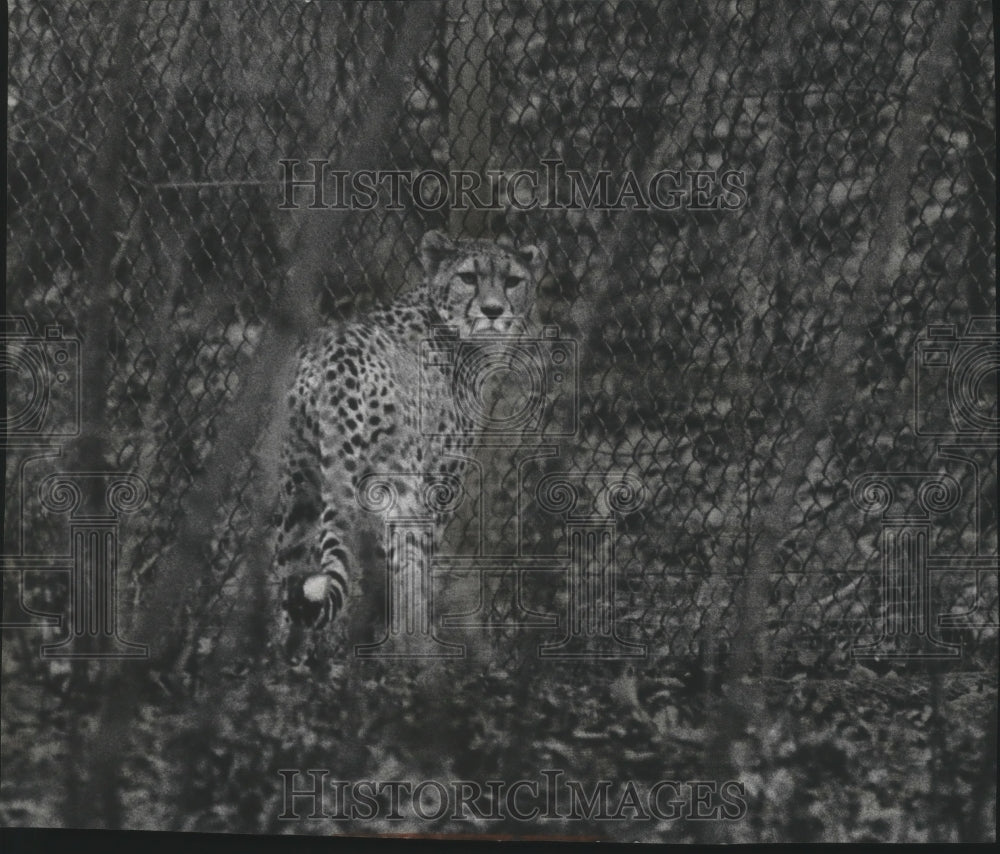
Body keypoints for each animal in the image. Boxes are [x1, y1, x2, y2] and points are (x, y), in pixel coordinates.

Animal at [270, 231, 544, 664]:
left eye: (513, 280)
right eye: (468, 276)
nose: (493, 310)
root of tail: (336, 355)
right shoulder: (439, 485)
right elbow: (415, 567)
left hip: (302, 482)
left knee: (290, 572)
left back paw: (284, 663)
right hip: (398, 486)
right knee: (404, 567)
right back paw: (416, 653)